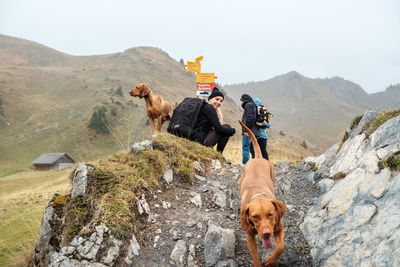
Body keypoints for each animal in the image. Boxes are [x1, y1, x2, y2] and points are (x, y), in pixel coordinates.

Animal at [239, 120, 286, 266]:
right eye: (255, 216)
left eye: (270, 214)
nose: (266, 234)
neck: (258, 195)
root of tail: (258, 158)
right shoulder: (249, 236)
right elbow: (255, 257)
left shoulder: (279, 228)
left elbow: (280, 247)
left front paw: (270, 260)